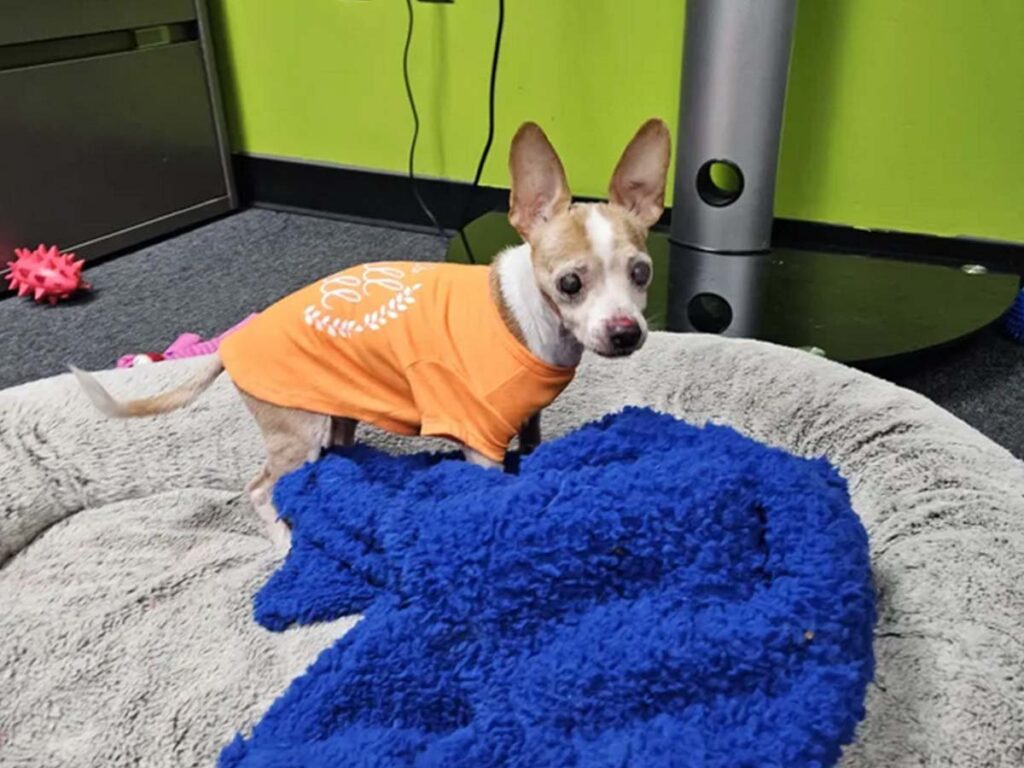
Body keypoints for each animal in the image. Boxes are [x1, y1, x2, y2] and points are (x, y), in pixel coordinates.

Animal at [74, 118, 671, 548]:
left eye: (642, 274)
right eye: (570, 283)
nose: (625, 331)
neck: (526, 318)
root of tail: (233, 345)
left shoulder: (527, 420)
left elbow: (531, 450)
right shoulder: (478, 437)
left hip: (334, 417)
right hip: (298, 429)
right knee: (261, 489)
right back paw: (284, 541)